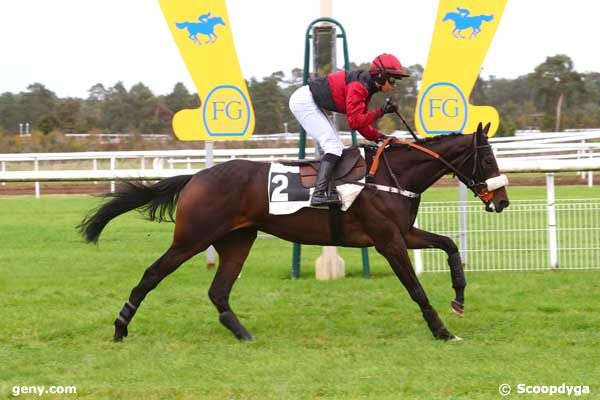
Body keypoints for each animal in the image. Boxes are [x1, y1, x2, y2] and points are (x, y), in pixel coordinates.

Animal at [79, 123, 508, 342]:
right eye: (487, 159)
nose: (502, 201)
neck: (391, 175)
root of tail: (195, 177)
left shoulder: (403, 232)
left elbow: (449, 245)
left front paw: (459, 299)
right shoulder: (387, 241)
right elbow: (415, 288)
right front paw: (442, 330)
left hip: (238, 240)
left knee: (218, 290)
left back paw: (243, 333)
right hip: (192, 239)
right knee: (152, 274)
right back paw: (120, 327)